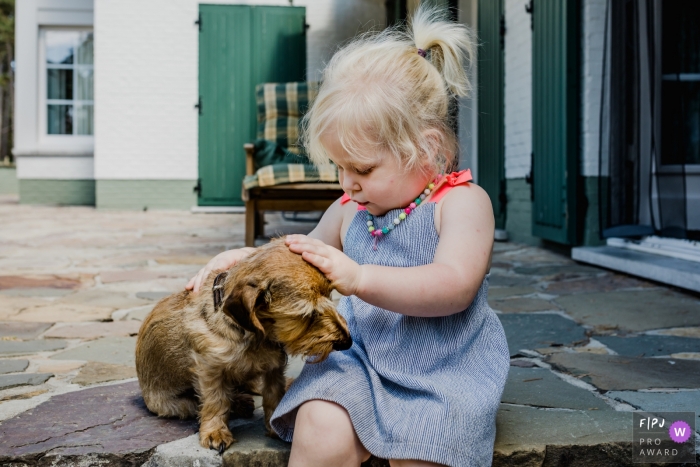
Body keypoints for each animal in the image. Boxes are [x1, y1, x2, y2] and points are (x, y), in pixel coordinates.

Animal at [133, 239, 350, 452]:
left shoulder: (274, 367)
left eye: (330, 295)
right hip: (172, 404)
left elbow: (273, 394)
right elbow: (216, 400)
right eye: (308, 315)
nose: (348, 342)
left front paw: (275, 425)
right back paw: (238, 403)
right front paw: (216, 432)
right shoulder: (209, 370)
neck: (256, 334)